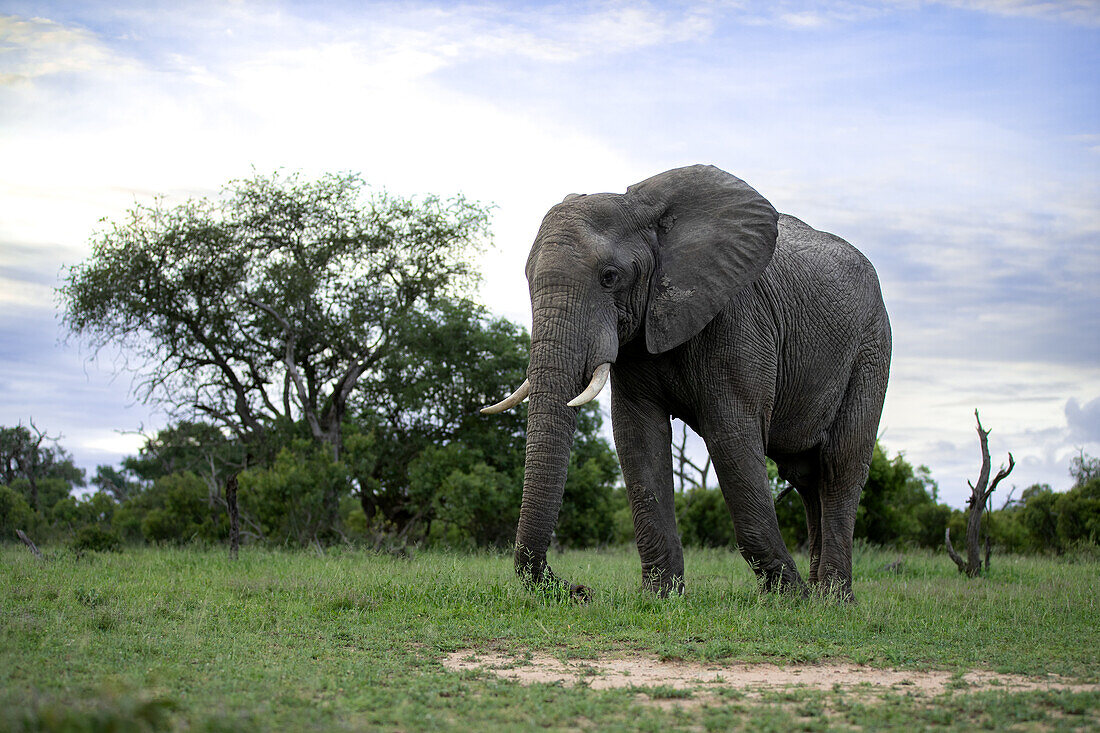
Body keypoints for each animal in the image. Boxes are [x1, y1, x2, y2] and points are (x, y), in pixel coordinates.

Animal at [481, 163, 884, 598]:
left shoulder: (739, 319)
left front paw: (788, 596)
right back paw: (820, 593)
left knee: (841, 464)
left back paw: (831, 599)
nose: (578, 589)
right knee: (806, 476)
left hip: (871, 348)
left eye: (610, 277)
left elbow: (732, 435)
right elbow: (637, 437)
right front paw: (659, 596)